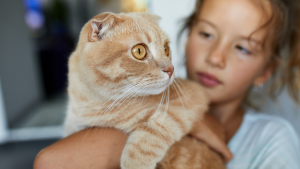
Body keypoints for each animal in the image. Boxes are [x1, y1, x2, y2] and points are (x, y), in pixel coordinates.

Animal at [65, 12, 225, 169]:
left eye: (166, 48)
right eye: (139, 51)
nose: (171, 69)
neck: (92, 104)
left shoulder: (191, 98)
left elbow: (154, 131)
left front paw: (135, 163)